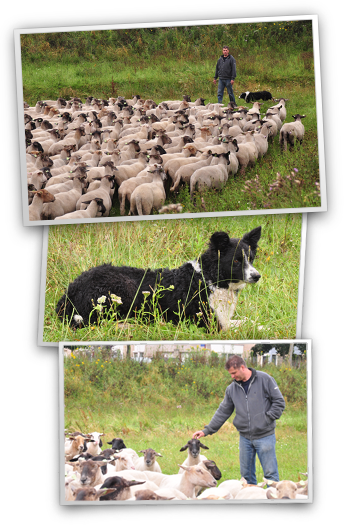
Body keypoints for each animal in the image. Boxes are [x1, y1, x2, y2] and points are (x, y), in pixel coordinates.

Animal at [55, 226, 260, 332]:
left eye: (251, 258)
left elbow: (249, 321)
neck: (210, 277)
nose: (257, 276)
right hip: (122, 290)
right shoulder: (209, 323)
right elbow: (249, 325)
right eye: (236, 261)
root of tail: (70, 292)